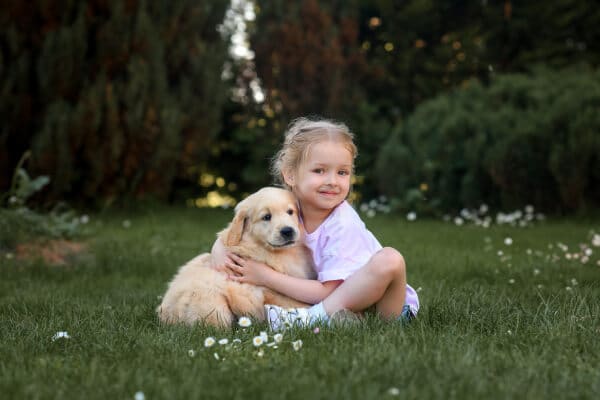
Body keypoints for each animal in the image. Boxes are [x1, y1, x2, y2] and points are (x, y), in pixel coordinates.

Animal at [156, 188, 314, 328]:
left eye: (290, 212)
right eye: (266, 217)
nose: (287, 231)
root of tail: (165, 315)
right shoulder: (272, 292)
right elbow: (298, 303)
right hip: (214, 304)